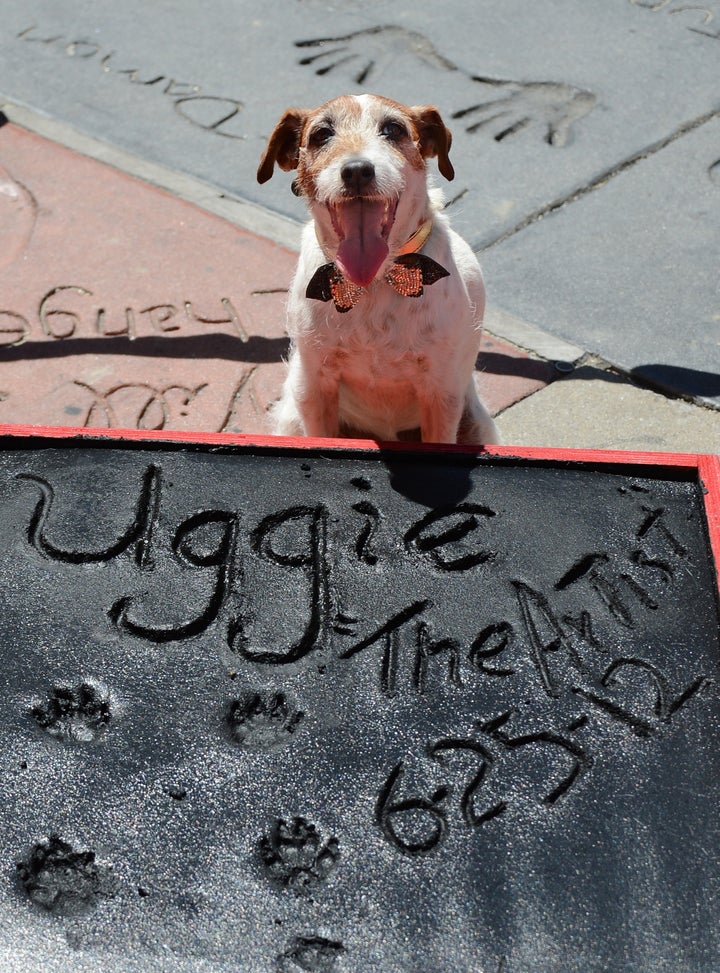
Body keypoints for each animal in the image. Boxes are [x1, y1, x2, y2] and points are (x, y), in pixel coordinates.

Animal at [258, 95, 500, 444]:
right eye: (321, 134)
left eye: (393, 129)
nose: (357, 171)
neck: (374, 282)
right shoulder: (315, 387)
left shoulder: (441, 393)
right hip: (294, 411)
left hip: (475, 422)